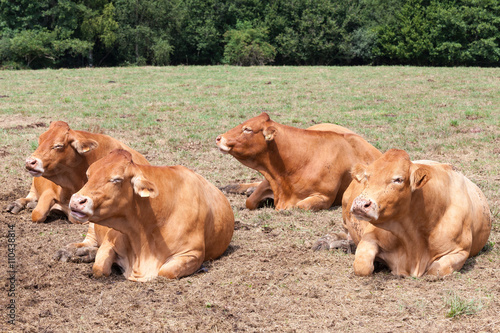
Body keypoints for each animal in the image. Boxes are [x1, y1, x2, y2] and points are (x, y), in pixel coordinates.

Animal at [8, 120, 149, 274]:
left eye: (58, 145)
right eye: (40, 140)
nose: (30, 162)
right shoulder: (49, 191)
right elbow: (37, 214)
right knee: (30, 196)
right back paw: (19, 203)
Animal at [67, 149, 235, 282]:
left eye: (116, 179)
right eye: (88, 175)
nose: (76, 201)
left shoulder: (193, 253)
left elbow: (165, 271)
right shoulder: (109, 241)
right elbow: (99, 269)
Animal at [217, 112, 380, 210]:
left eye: (248, 129)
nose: (219, 138)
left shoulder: (323, 197)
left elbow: (299, 205)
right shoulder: (270, 180)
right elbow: (250, 201)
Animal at [316, 149, 492, 276]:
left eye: (398, 179)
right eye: (367, 176)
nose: (360, 204)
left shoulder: (460, 251)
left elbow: (436, 270)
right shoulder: (370, 236)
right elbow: (362, 265)